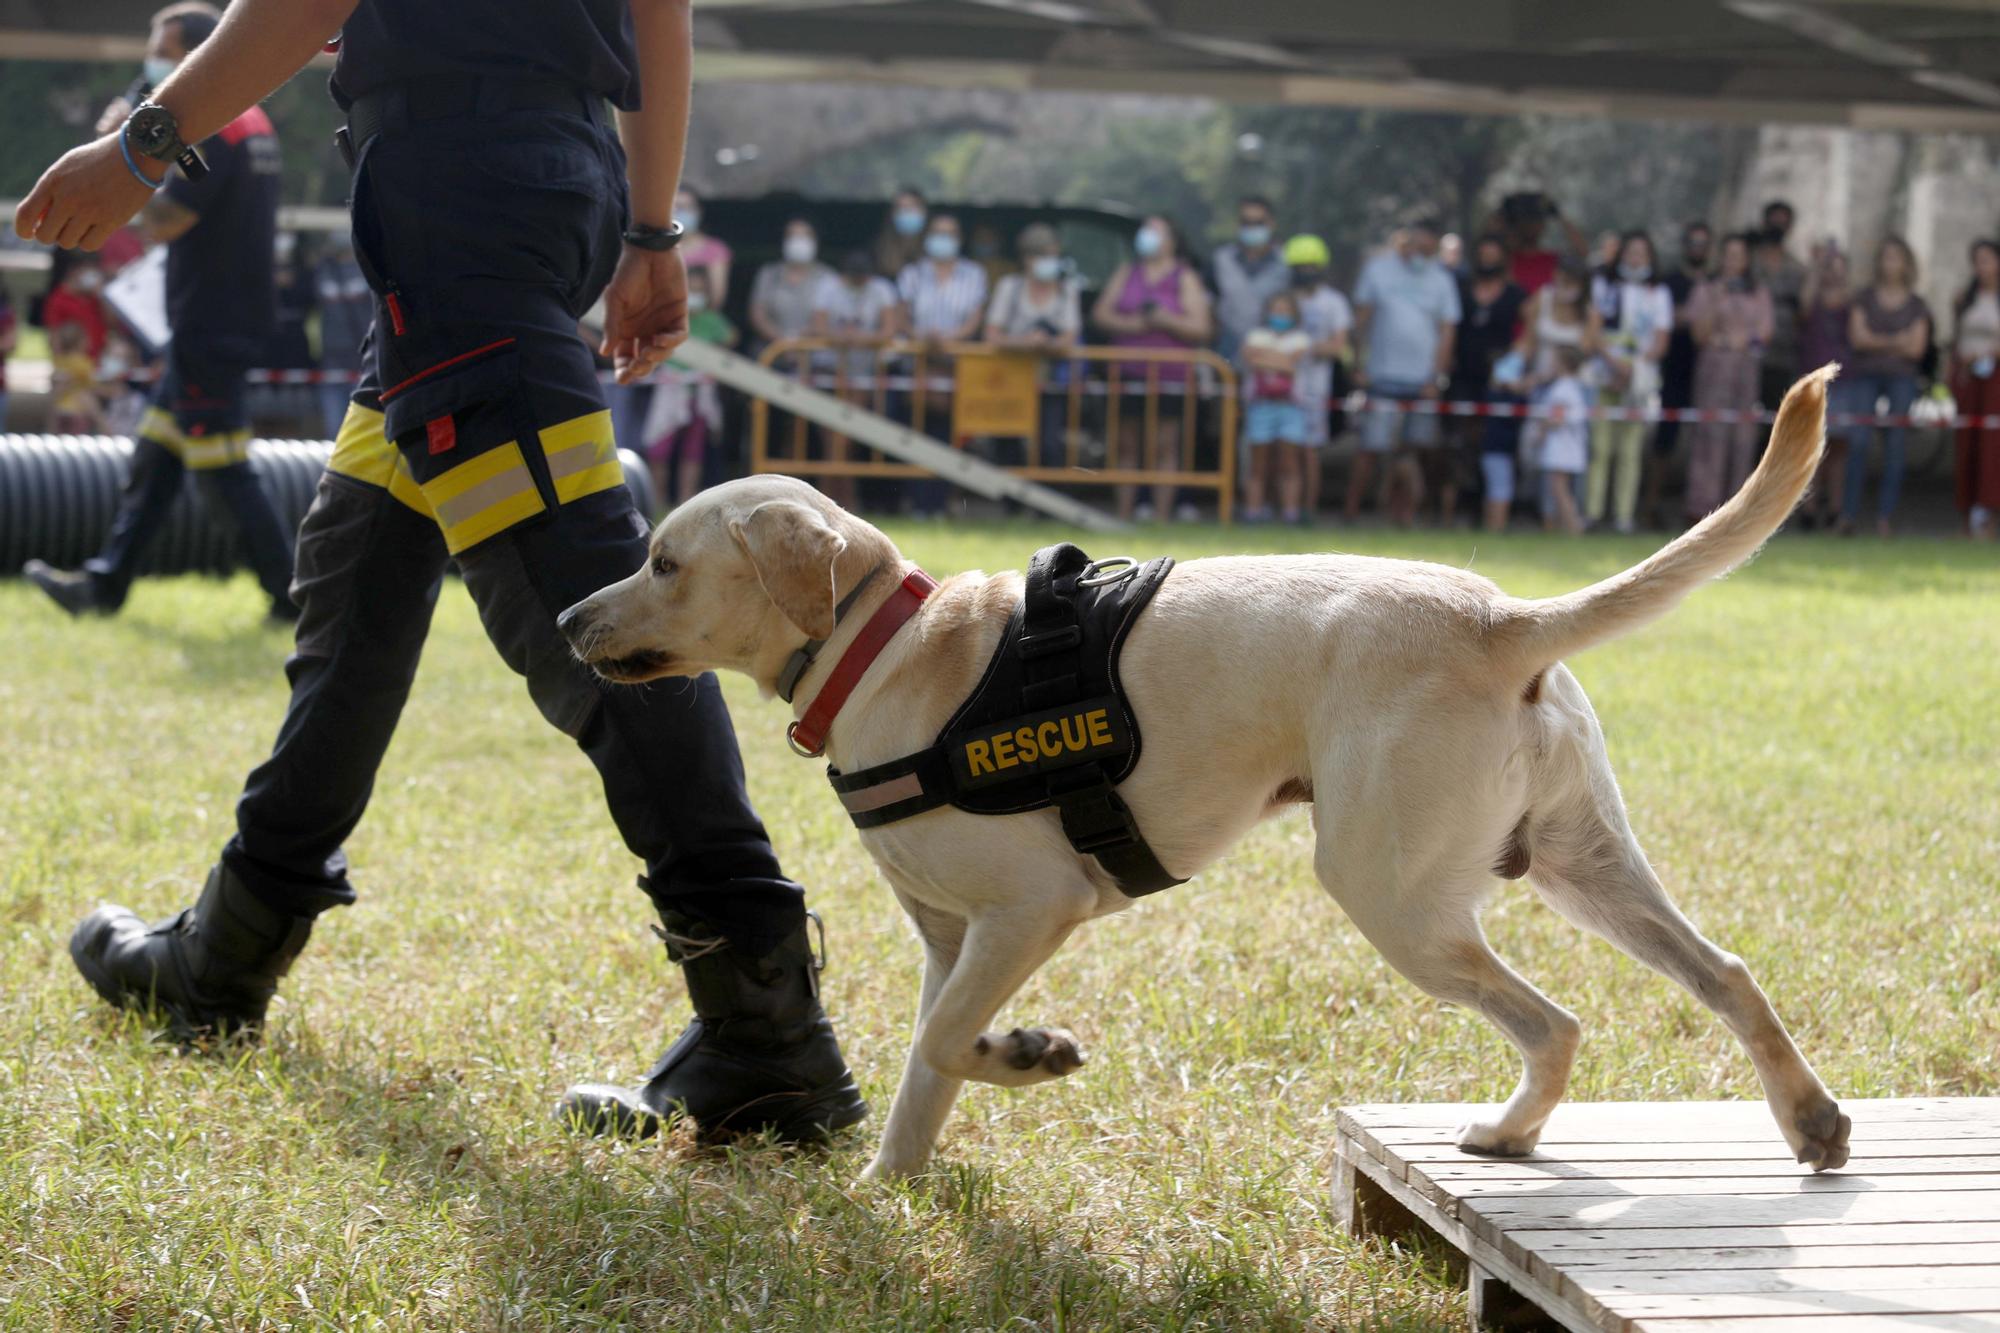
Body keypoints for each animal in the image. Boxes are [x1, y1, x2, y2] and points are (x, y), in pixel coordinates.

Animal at [560, 368, 1840, 1176]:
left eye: (662, 560)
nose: (568, 618)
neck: (886, 645)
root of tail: (1500, 619)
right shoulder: (950, 938)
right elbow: (928, 1064)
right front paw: (893, 1185)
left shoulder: (1029, 909)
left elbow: (941, 1046)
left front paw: (1024, 1056)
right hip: (1584, 866)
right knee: (1724, 974)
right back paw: (1807, 1119)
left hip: (1395, 898)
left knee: (1554, 1021)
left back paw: (1515, 1131)